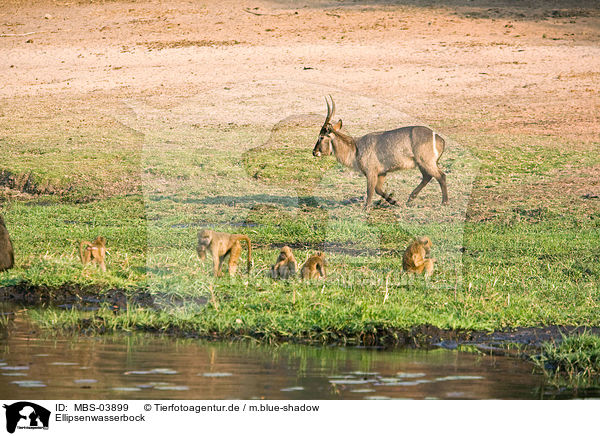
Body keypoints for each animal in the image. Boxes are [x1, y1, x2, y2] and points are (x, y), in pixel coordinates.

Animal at [314, 96, 446, 211]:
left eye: (321, 137)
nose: (314, 152)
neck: (355, 148)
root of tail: (439, 139)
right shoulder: (382, 172)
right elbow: (378, 189)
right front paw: (395, 202)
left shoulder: (371, 172)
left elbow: (370, 190)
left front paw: (366, 208)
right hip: (422, 164)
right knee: (427, 177)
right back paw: (410, 198)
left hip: (426, 162)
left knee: (441, 176)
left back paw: (444, 202)